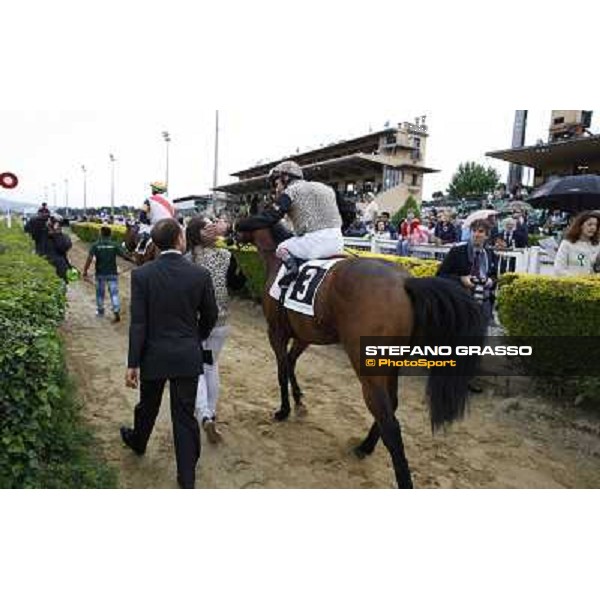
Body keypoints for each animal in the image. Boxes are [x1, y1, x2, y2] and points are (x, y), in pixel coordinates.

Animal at [236, 220, 488, 488]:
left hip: (367, 366)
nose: (231, 233)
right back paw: (365, 446)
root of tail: (405, 282)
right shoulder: (304, 335)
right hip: (390, 363)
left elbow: (282, 370)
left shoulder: (275, 332)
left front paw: (283, 410)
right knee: (391, 405)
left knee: (389, 421)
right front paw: (299, 400)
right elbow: (292, 364)